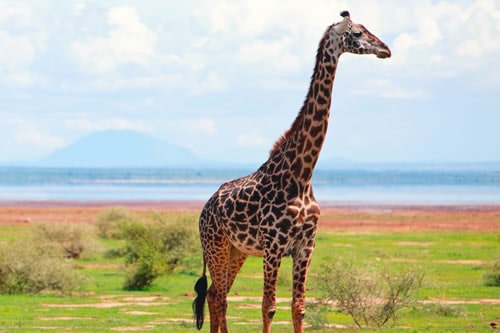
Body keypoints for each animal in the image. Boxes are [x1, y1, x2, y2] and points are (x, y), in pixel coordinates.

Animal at [191, 10, 390, 332]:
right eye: (358, 33)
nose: (386, 49)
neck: (302, 174)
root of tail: (205, 208)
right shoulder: (273, 245)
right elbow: (268, 307)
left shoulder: (306, 245)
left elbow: (299, 308)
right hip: (215, 245)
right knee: (218, 295)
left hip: (237, 250)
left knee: (214, 294)